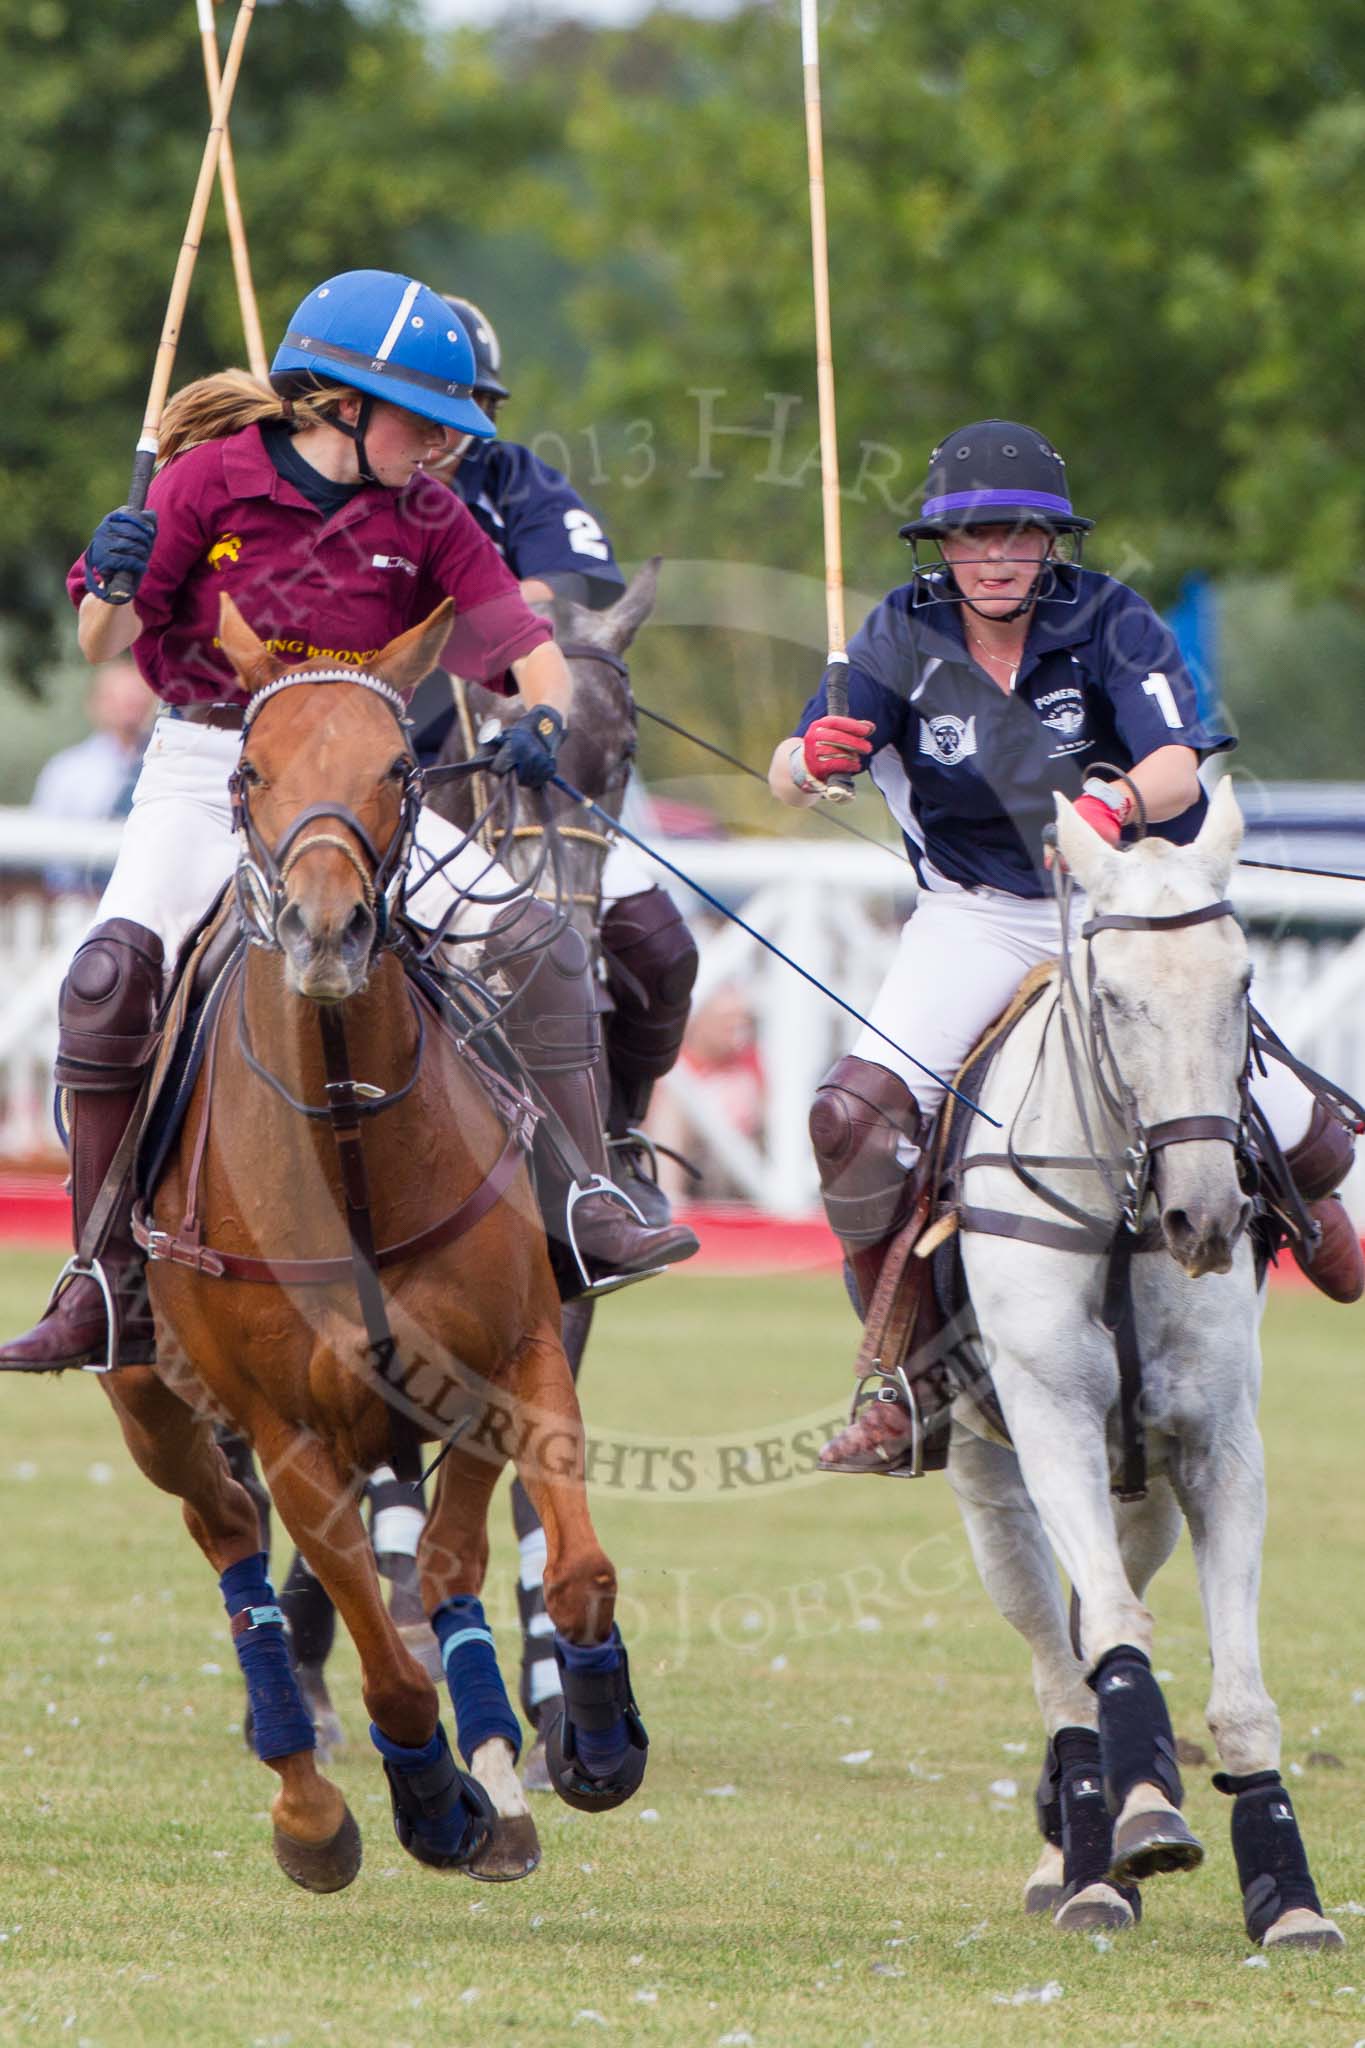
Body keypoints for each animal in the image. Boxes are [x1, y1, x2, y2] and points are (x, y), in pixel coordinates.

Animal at [101, 589, 646, 1884]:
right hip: (153, 1396)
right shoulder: (287, 1425)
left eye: (400, 766)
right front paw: (430, 1796)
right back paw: (310, 1794)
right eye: (248, 768)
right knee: (228, 1530)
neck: (348, 1139)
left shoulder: (518, 1348)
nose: (325, 931)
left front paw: (589, 1738)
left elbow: (560, 1564)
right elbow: (386, 1656)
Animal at [945, 782, 1342, 1949]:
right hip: (986, 1474)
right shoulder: (1052, 1427)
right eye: (1114, 998)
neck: (1122, 1219)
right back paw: (1088, 1854)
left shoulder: (1217, 1449)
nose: (1203, 1216)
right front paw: (1136, 1830)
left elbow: (1241, 1693)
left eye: (1243, 983)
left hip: (1149, 1488)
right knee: (1060, 1658)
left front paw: (1287, 1894)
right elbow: (1110, 1637)